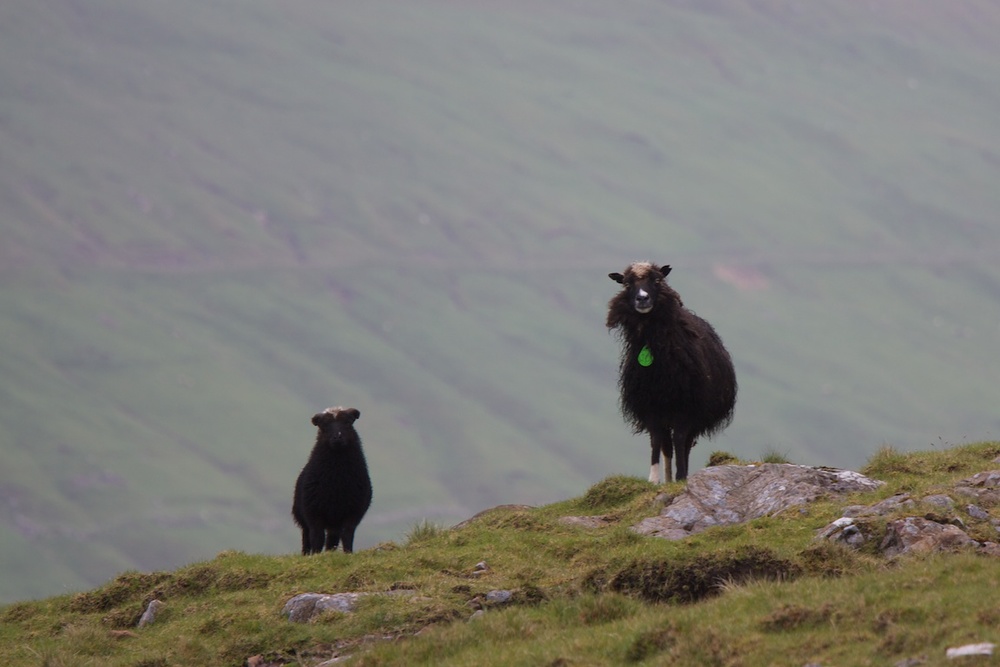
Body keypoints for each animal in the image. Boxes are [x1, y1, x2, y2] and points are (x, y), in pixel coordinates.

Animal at [292, 408, 374, 552]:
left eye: (348, 423)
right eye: (324, 426)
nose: (337, 437)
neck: (337, 481)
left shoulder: (352, 513)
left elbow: (347, 535)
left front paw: (348, 553)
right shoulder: (314, 513)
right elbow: (317, 537)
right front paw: (316, 554)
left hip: (335, 521)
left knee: (332, 540)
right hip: (304, 518)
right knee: (307, 539)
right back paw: (307, 553)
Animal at [604, 262, 740, 486]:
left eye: (657, 280)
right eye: (627, 284)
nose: (642, 298)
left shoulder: (685, 408)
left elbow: (680, 440)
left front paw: (681, 476)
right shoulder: (650, 406)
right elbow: (656, 441)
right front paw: (654, 479)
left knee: (682, 443)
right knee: (667, 445)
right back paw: (667, 478)